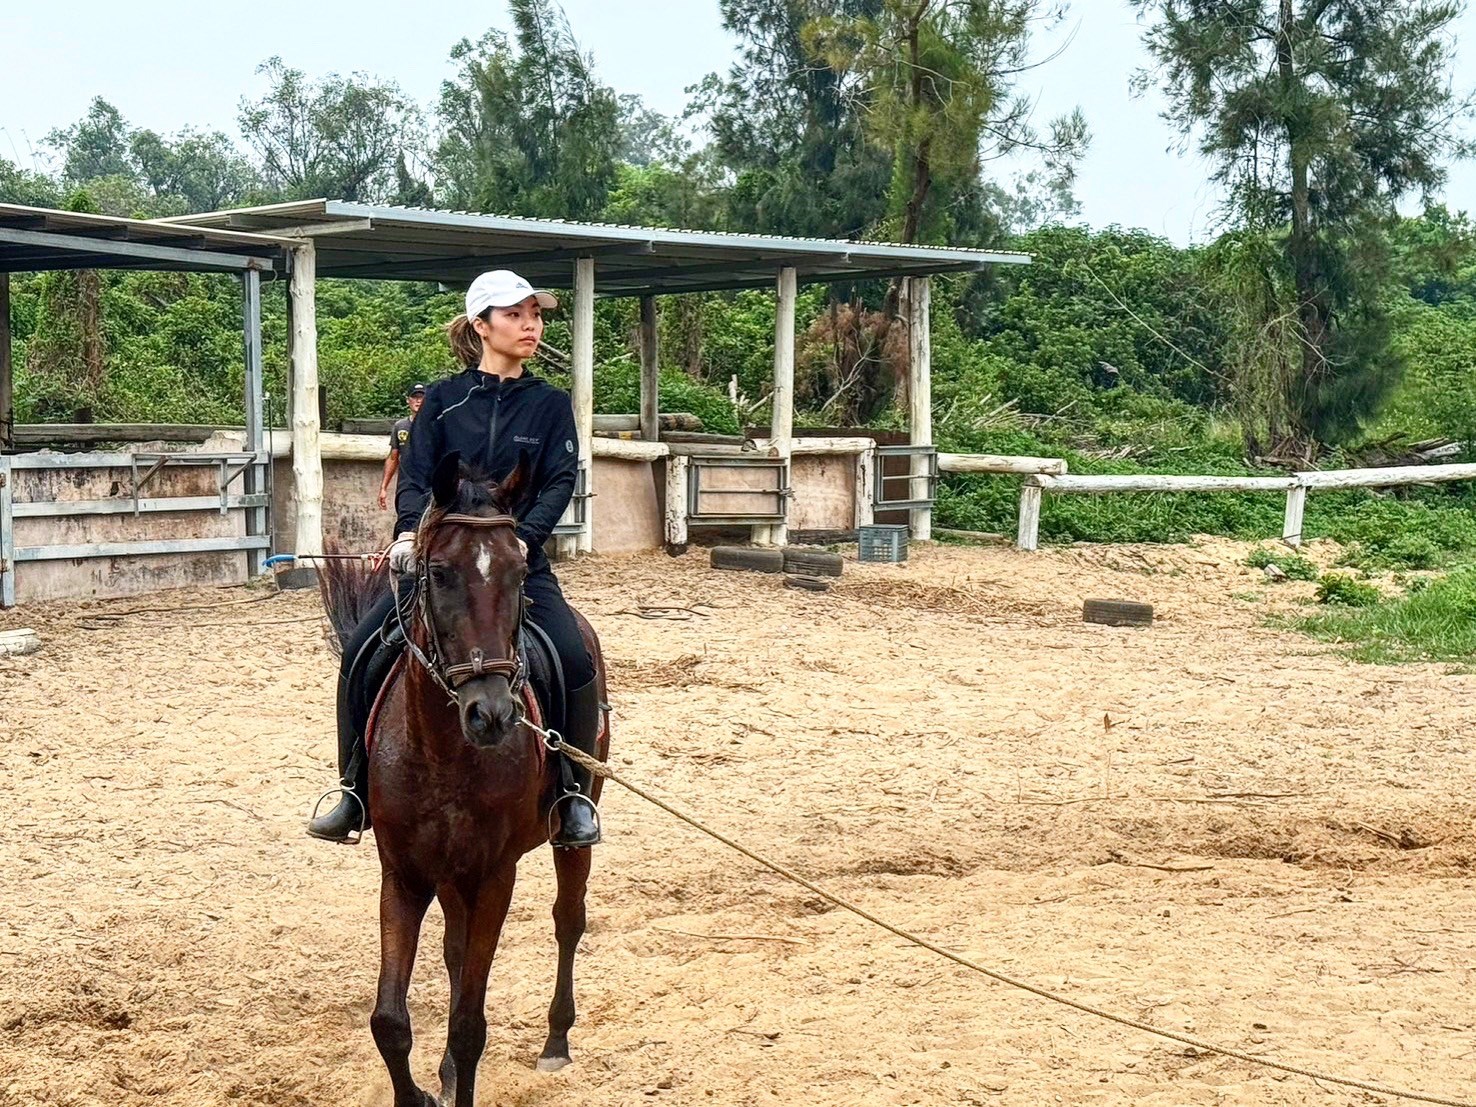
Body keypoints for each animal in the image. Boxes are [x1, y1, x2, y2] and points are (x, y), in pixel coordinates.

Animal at [315, 451, 605, 1107]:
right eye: (440, 573)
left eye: (520, 572)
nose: (491, 714)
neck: (446, 754)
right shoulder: (404, 873)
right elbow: (389, 1022)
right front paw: (421, 1091)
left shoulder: (495, 874)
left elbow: (470, 1023)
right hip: (447, 874)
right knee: (453, 949)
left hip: (565, 837)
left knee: (568, 920)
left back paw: (556, 1040)